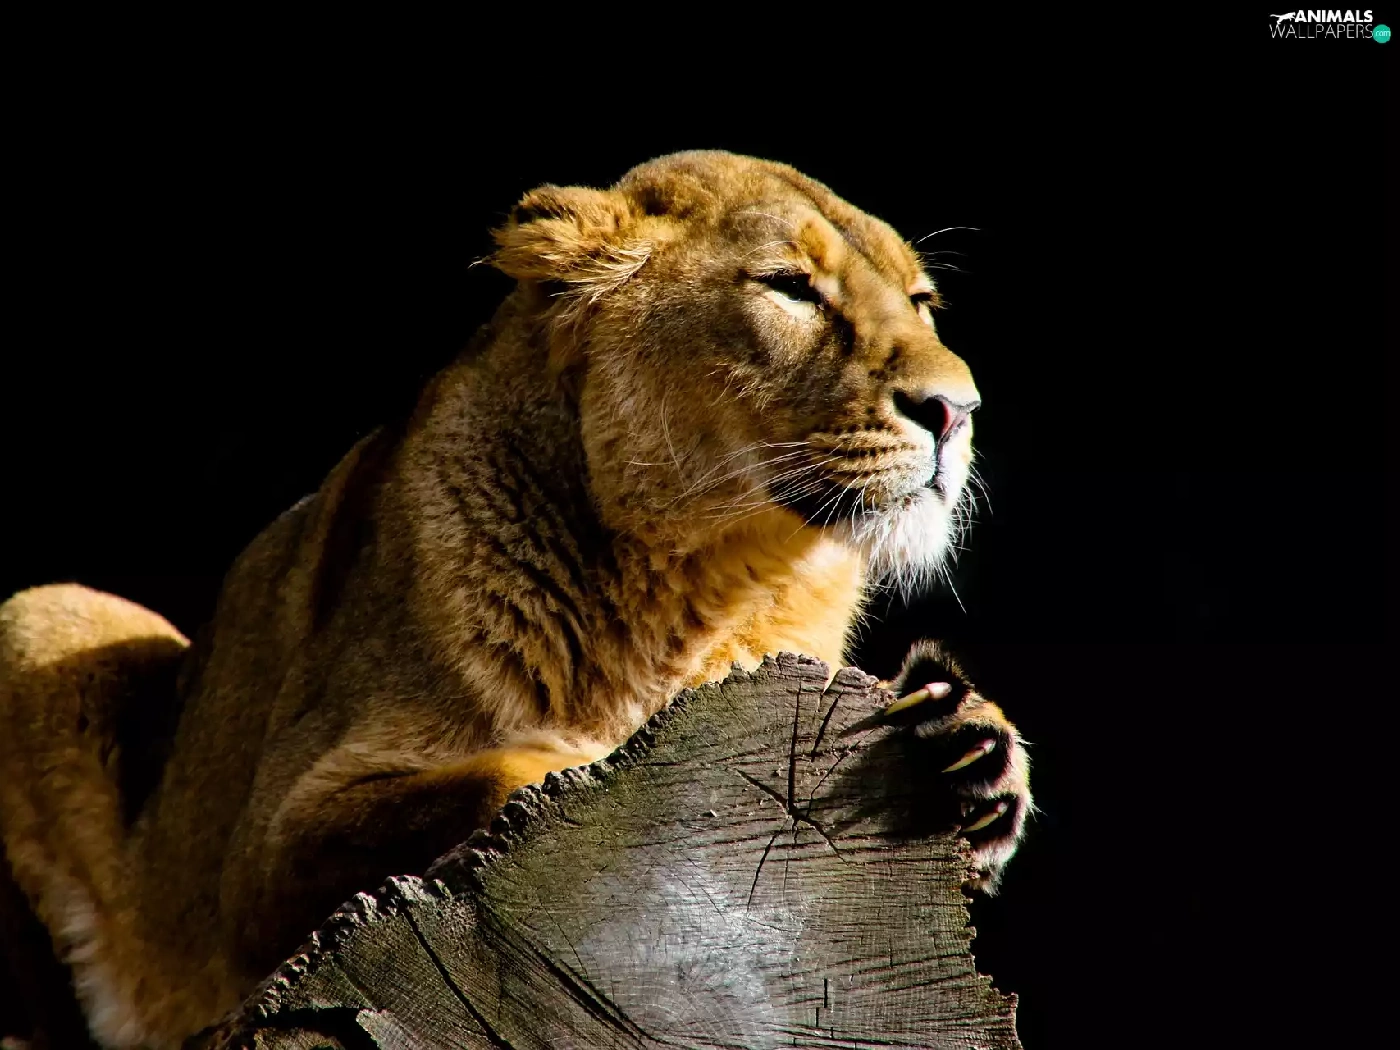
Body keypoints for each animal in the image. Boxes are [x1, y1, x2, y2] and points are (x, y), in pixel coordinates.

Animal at [0, 150, 1031, 1049]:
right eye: (790, 286)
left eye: (922, 302)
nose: (958, 410)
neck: (711, 584)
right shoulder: (260, 857)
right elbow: (505, 771)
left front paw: (969, 740)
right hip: (47, 615)